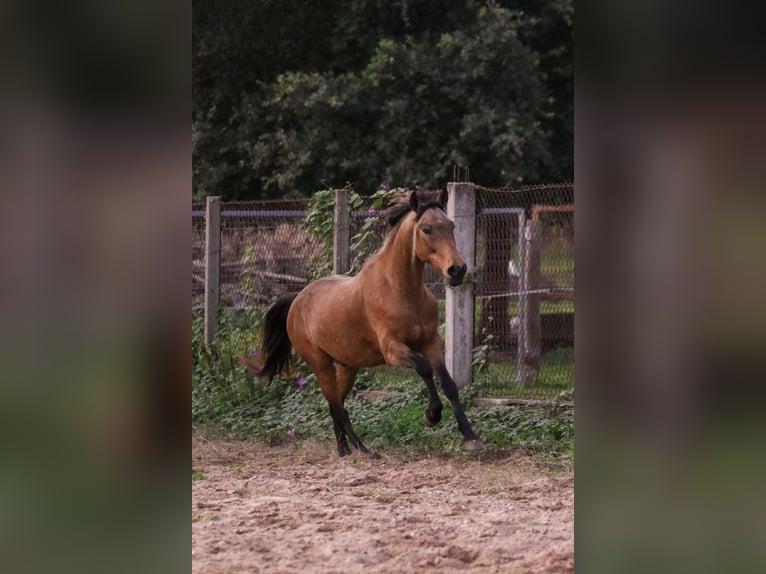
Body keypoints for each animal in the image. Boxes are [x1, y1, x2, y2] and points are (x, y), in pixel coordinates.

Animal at [241, 189, 485, 457]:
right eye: (426, 229)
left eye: (451, 225)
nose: (457, 270)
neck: (402, 291)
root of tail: (297, 299)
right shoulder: (392, 350)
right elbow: (424, 368)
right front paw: (431, 415)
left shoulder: (431, 343)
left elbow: (449, 383)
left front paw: (471, 437)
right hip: (321, 365)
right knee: (336, 406)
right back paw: (362, 450)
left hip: (348, 368)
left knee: (337, 405)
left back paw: (348, 450)